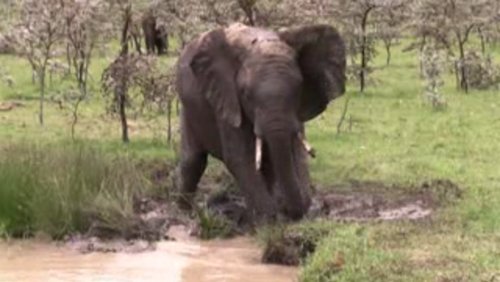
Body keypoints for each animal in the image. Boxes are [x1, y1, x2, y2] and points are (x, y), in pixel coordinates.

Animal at [175, 23, 344, 221]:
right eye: (246, 95)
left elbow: (295, 152)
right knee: (193, 160)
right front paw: (269, 219)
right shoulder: (227, 99)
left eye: (298, 89)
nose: (289, 212)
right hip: (188, 108)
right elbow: (239, 157)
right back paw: (186, 212)